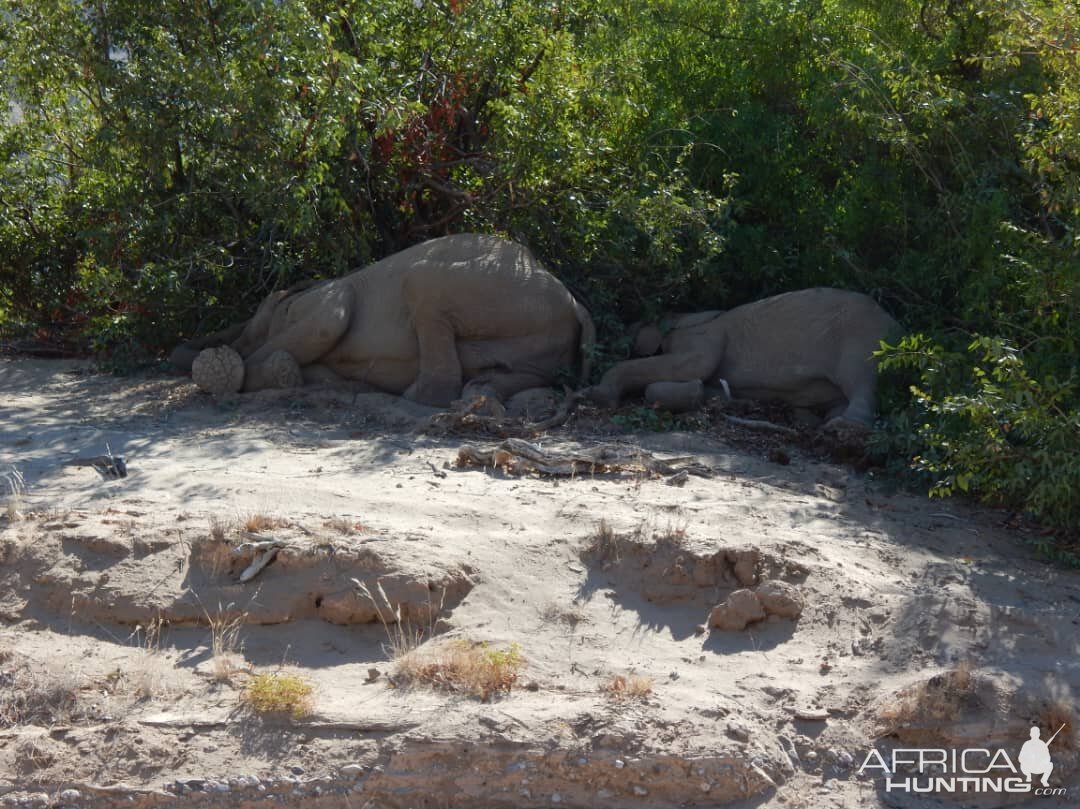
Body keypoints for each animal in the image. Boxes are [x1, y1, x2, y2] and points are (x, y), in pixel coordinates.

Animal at [169, 235, 596, 410]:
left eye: (262, 315)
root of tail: (577, 303)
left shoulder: (322, 298)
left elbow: (330, 316)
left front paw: (219, 372)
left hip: (493, 290)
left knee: (421, 283)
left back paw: (426, 397)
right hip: (543, 335)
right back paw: (480, 393)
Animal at [587, 287, 898, 425]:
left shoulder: (704, 336)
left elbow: (695, 365)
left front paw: (600, 395)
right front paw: (698, 394)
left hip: (863, 337)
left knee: (860, 380)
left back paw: (843, 428)